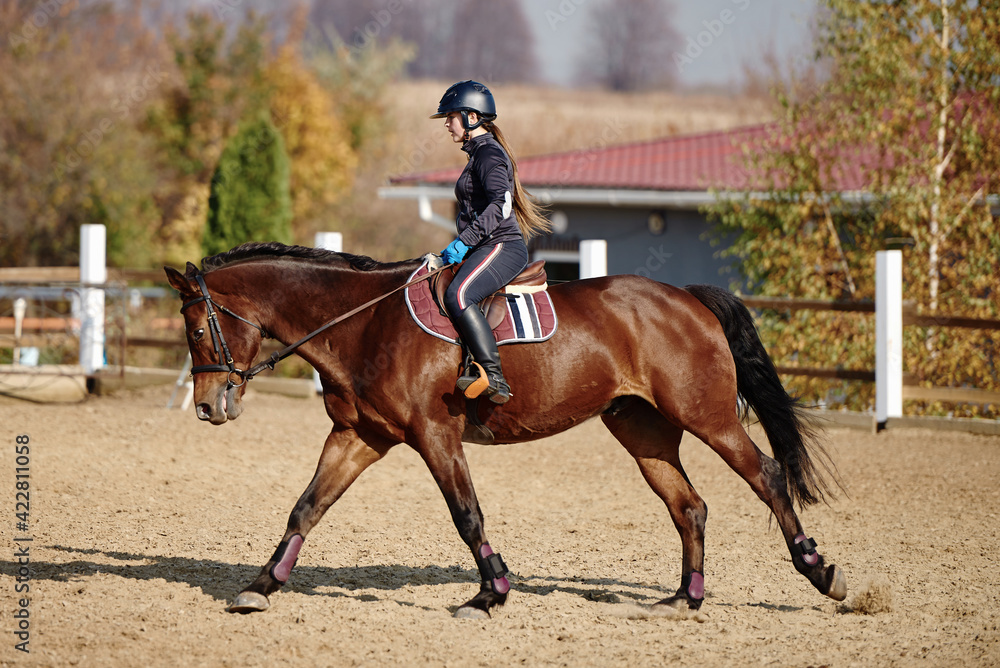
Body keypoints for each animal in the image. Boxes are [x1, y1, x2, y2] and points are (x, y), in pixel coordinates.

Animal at [164, 241, 847, 619]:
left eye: (196, 329)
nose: (209, 406)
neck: (361, 323)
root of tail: (685, 296)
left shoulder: (434, 436)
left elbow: (467, 515)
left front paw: (490, 593)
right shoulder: (359, 437)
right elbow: (305, 508)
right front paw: (259, 587)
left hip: (707, 417)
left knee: (767, 476)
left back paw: (821, 572)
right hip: (643, 432)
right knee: (690, 505)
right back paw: (685, 598)